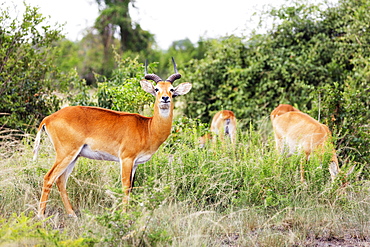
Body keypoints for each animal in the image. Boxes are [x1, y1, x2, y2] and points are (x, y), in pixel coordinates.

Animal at [33, 58, 192, 217]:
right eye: (157, 89)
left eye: (172, 89)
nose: (165, 98)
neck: (147, 127)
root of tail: (48, 118)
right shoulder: (126, 159)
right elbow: (125, 186)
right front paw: (124, 214)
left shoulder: (135, 163)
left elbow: (131, 187)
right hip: (66, 153)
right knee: (48, 178)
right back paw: (41, 215)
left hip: (74, 156)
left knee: (60, 180)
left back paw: (72, 214)